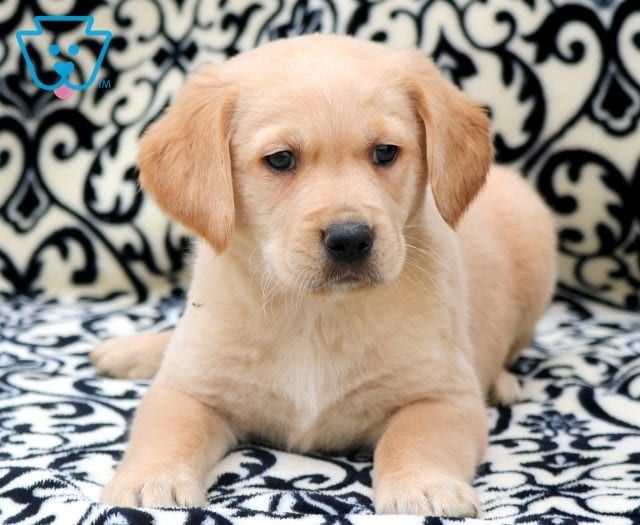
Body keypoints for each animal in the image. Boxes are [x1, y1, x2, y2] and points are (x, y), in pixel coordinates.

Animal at [90, 33, 556, 516]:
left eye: (385, 152)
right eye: (280, 160)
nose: (350, 239)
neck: (315, 315)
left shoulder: (442, 395)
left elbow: (415, 440)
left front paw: (425, 488)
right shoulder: (187, 388)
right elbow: (168, 430)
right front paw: (150, 481)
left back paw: (501, 380)